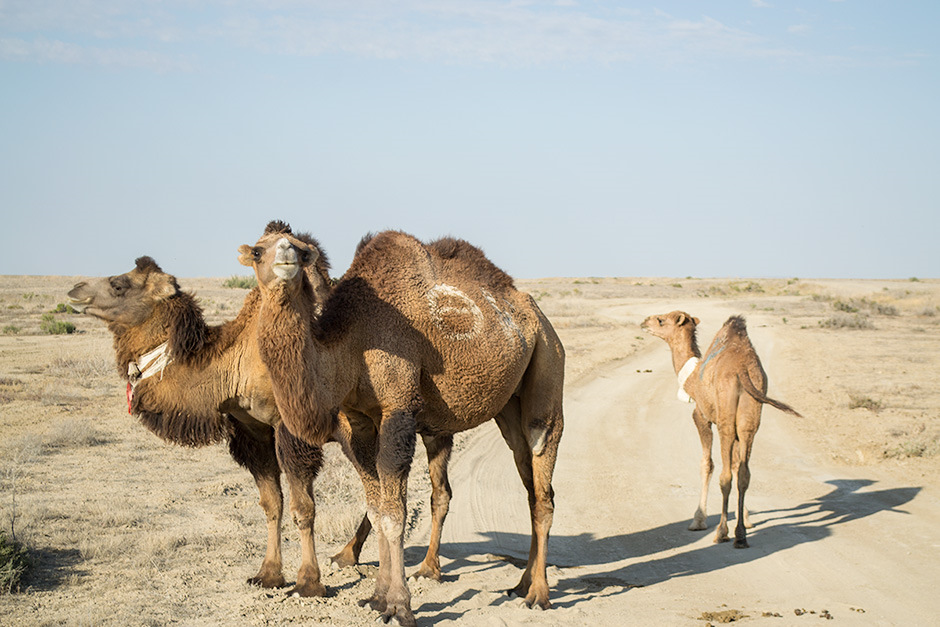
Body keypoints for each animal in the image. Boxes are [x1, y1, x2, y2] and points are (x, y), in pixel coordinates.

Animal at [68, 256, 370, 600]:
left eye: (119, 284)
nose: (75, 289)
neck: (233, 364)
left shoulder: (290, 430)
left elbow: (303, 507)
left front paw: (308, 583)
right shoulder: (252, 431)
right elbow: (272, 504)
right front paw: (268, 574)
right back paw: (348, 554)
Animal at [241, 222, 564, 627]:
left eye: (300, 250)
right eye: (257, 250)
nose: (285, 256)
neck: (351, 341)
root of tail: (537, 316)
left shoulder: (398, 408)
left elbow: (394, 513)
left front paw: (398, 606)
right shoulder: (359, 421)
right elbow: (377, 508)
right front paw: (376, 598)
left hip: (548, 363)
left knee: (542, 466)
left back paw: (539, 594)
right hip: (509, 405)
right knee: (529, 480)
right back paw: (520, 584)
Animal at [640, 312, 800, 548]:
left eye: (661, 320)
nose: (644, 322)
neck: (693, 378)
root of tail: (742, 370)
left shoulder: (701, 417)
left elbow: (707, 464)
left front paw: (698, 520)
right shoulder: (738, 430)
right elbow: (736, 466)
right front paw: (747, 519)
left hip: (725, 422)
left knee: (725, 477)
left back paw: (722, 532)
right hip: (750, 420)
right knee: (744, 473)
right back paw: (740, 534)